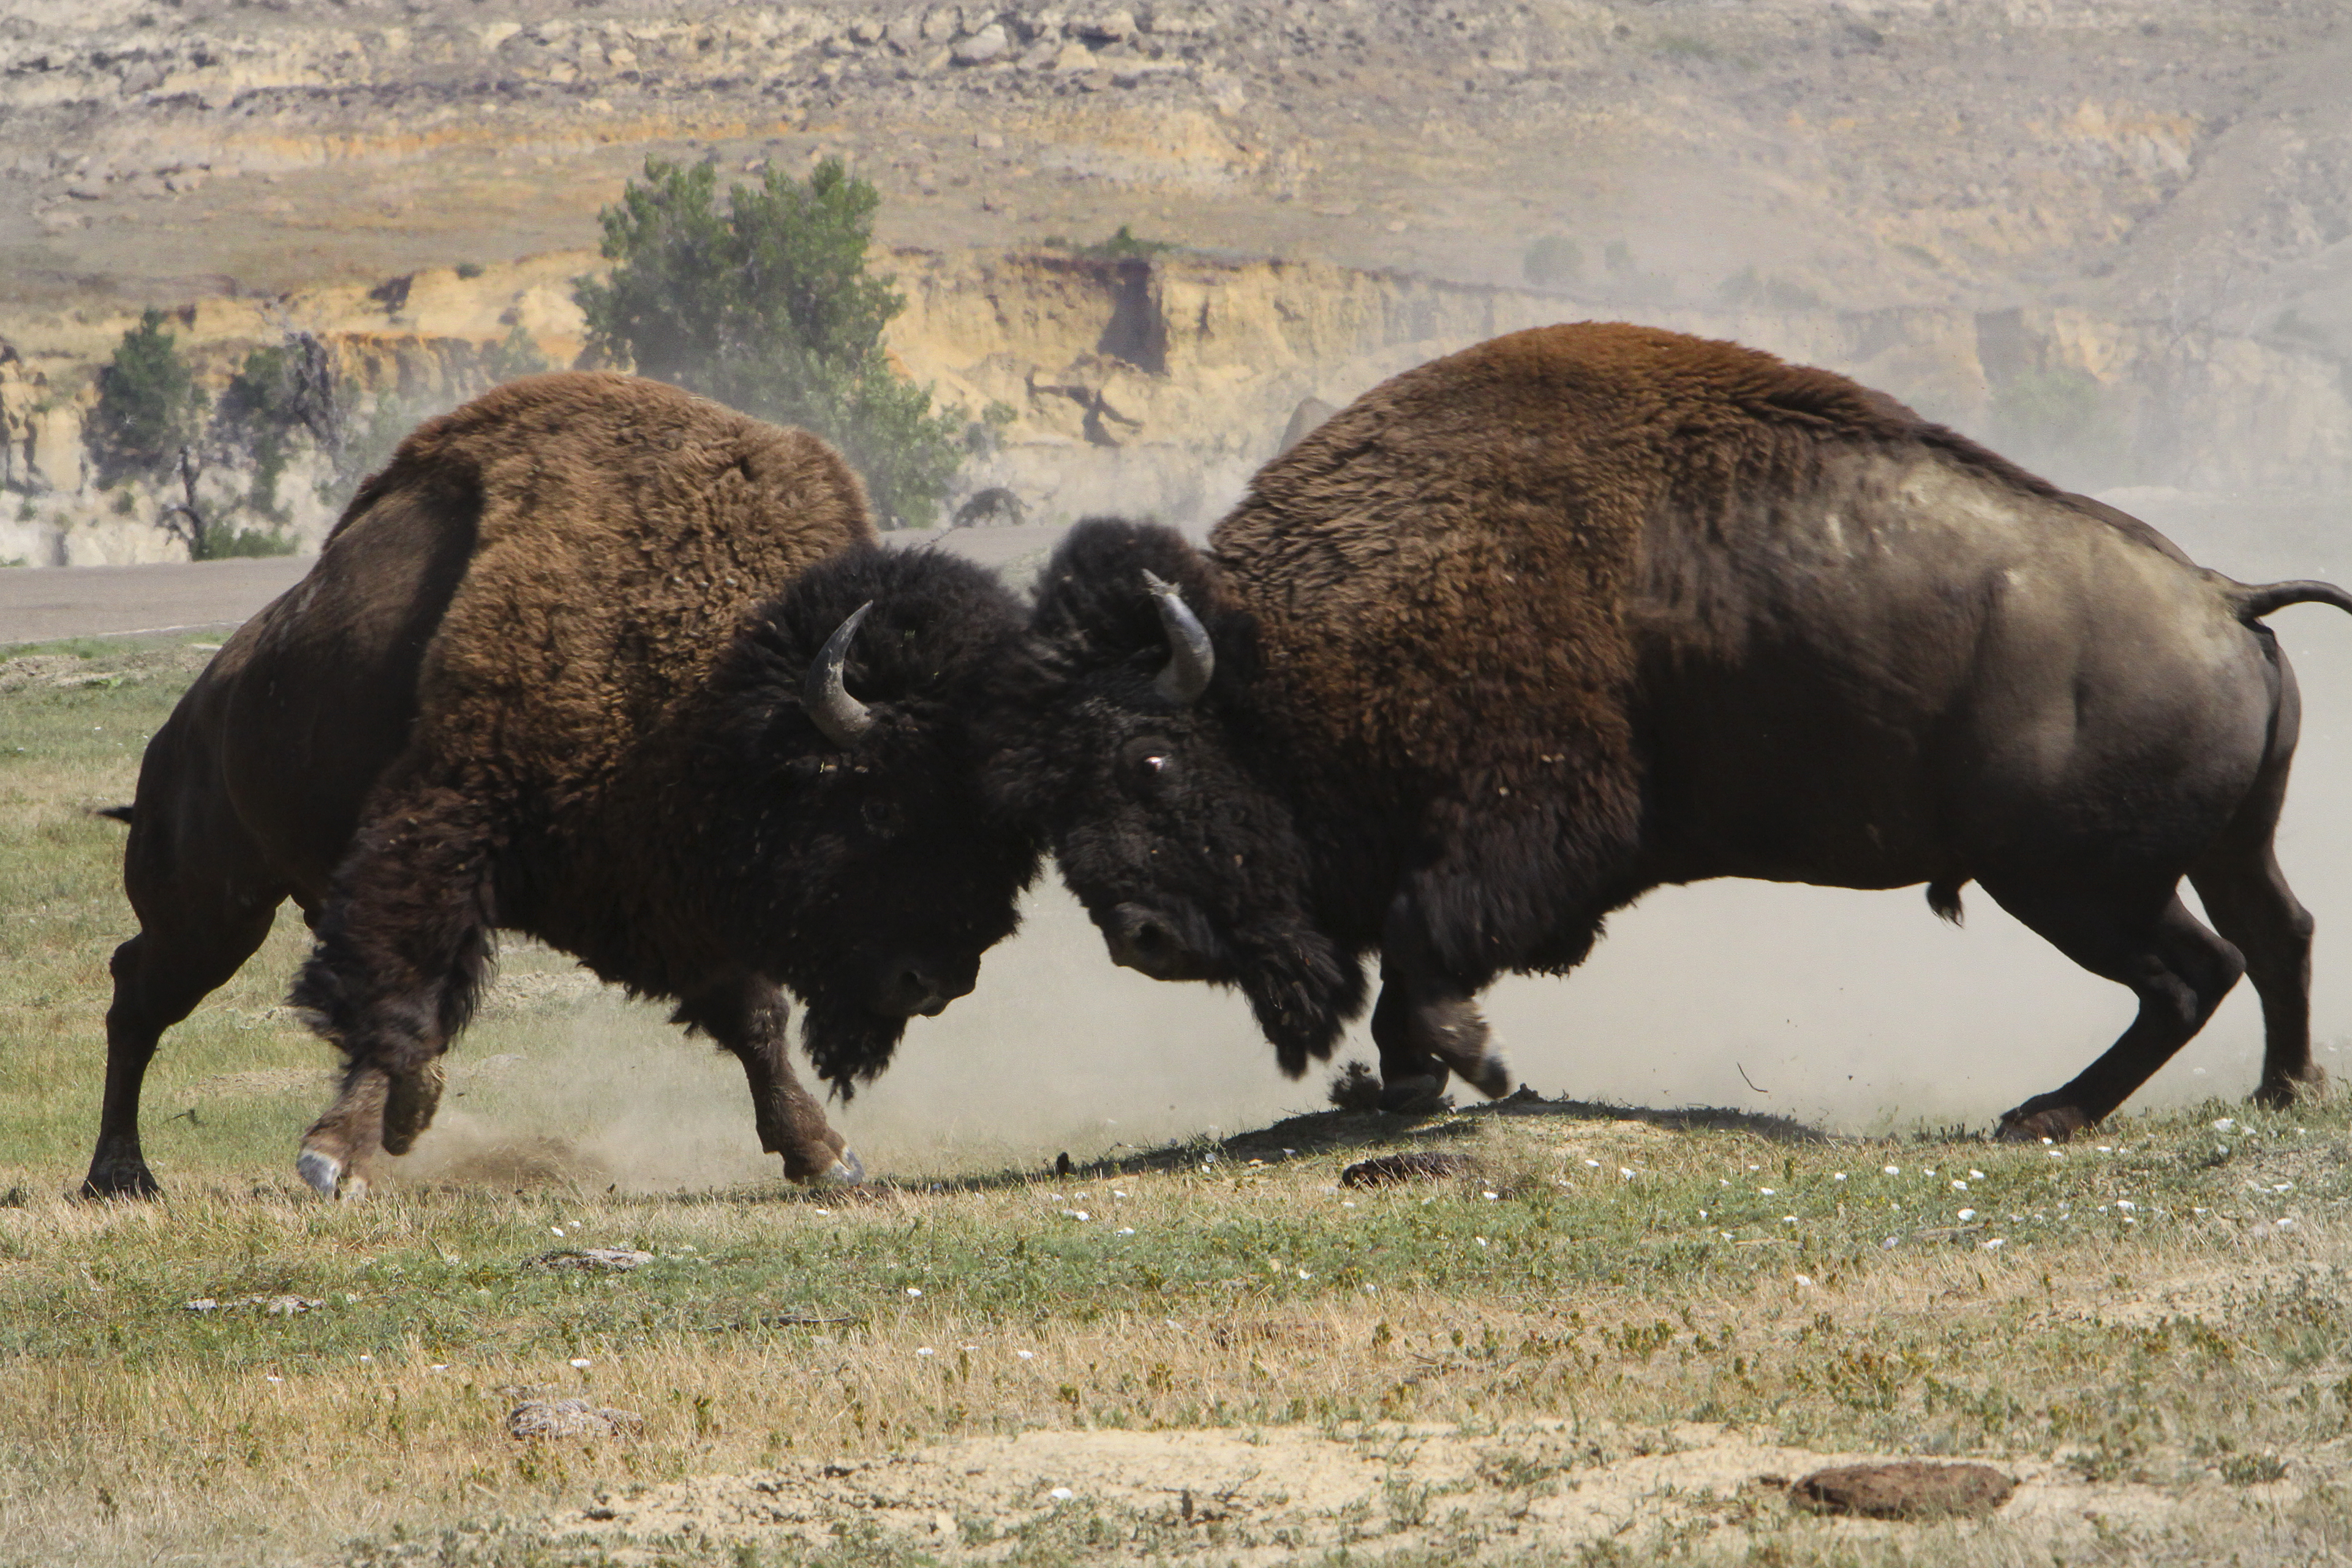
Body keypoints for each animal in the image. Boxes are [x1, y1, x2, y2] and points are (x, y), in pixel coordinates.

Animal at [89, 371, 1030, 1204]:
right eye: (878, 802)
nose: (937, 980)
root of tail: (194, 712)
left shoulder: (671, 884)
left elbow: (754, 1019)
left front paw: (824, 1155)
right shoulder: (442, 826)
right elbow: (399, 991)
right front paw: (335, 1157)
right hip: (216, 908)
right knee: (138, 993)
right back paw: (121, 1176)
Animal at [997, 322, 2352, 1142]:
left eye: (1149, 760)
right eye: (1053, 791)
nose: (1141, 937)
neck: (1287, 650)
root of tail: (2223, 597)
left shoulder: (1521, 837)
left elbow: (1427, 949)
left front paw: (1474, 1064)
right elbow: (1407, 967)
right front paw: (1412, 1082)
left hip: (2073, 882)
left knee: (2194, 972)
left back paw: (2048, 1114)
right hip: (2208, 852)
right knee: (2271, 937)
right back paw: (2281, 1092)